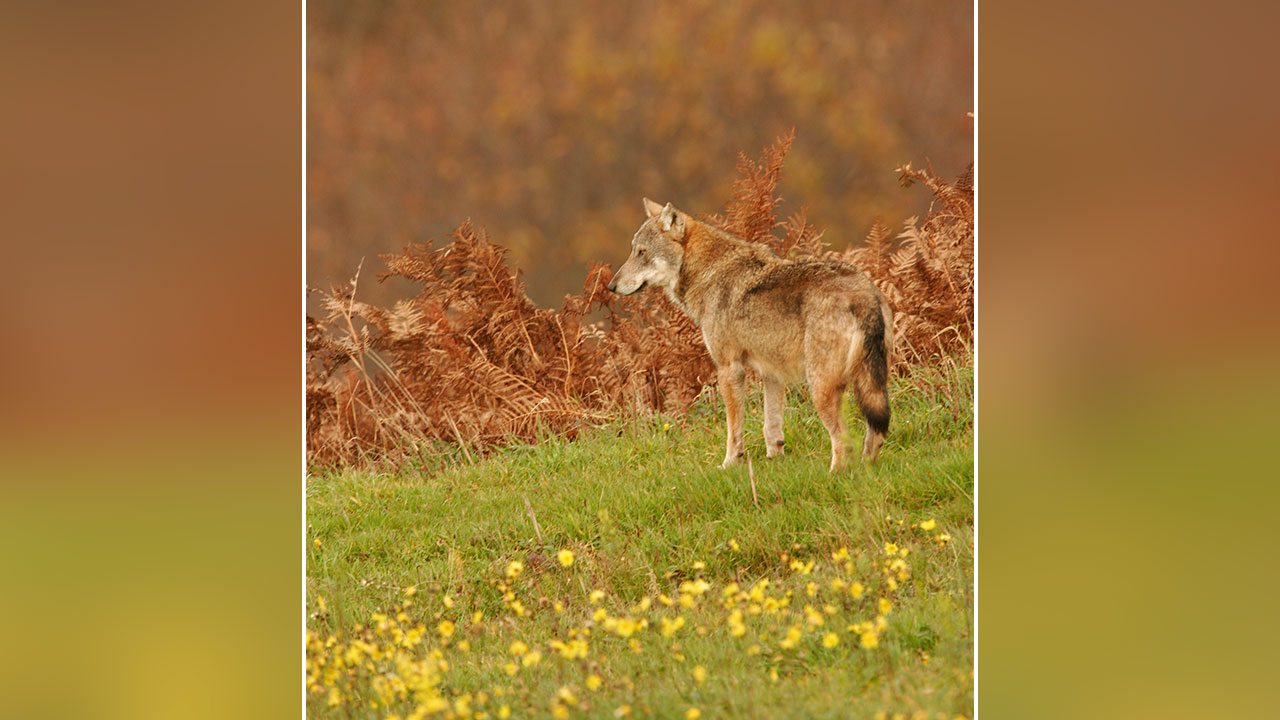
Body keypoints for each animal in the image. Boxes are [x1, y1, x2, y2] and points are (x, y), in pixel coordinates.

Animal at [607, 198, 893, 472]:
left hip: (822, 388)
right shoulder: (772, 373)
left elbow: (734, 430)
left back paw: (835, 476)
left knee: (844, 439)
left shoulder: (729, 369)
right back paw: (867, 470)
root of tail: (864, 296)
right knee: (875, 434)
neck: (708, 272)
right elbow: (772, 429)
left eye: (641, 253)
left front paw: (729, 464)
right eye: (634, 251)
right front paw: (775, 461)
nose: (611, 286)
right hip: (869, 383)